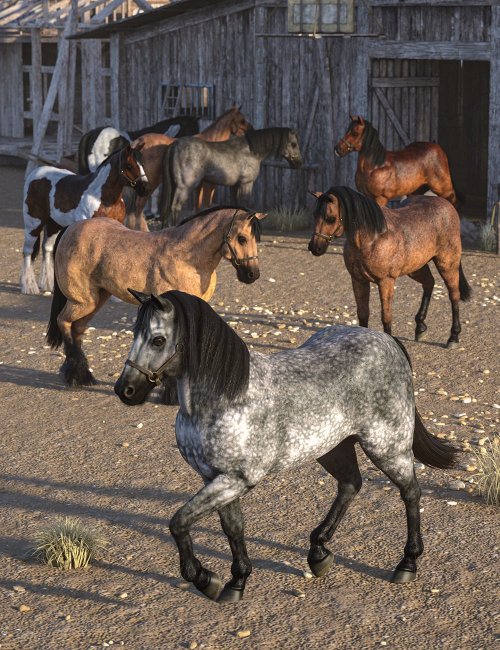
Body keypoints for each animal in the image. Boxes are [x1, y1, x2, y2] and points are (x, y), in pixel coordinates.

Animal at [20, 143, 150, 295]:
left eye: (143, 163)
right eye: (129, 165)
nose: (146, 189)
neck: (102, 197)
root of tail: (35, 173)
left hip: (54, 225)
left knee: (47, 249)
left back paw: (48, 285)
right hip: (33, 223)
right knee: (28, 251)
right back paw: (29, 287)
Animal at [46, 207, 265, 387]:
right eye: (242, 238)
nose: (253, 275)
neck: (186, 257)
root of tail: (70, 228)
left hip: (96, 300)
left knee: (77, 329)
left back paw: (79, 374)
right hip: (83, 302)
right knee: (63, 322)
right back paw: (76, 375)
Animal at [114, 289, 457, 603]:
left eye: (158, 340)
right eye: (134, 334)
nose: (125, 390)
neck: (224, 399)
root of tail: (389, 341)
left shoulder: (235, 479)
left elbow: (179, 522)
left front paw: (204, 578)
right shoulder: (215, 477)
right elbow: (232, 527)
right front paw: (236, 582)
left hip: (386, 446)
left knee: (410, 492)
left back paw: (407, 564)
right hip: (332, 447)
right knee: (350, 484)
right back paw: (319, 553)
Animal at [160, 127, 303, 226]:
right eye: (294, 144)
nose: (299, 163)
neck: (250, 152)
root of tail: (174, 145)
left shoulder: (234, 186)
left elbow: (236, 206)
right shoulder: (246, 184)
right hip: (184, 187)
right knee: (175, 207)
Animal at [308, 186, 471, 348]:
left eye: (330, 218)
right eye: (314, 214)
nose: (315, 248)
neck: (373, 238)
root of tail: (448, 206)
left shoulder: (386, 281)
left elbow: (386, 316)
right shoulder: (358, 280)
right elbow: (363, 313)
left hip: (447, 263)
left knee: (454, 294)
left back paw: (453, 337)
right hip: (416, 267)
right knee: (429, 283)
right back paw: (420, 327)